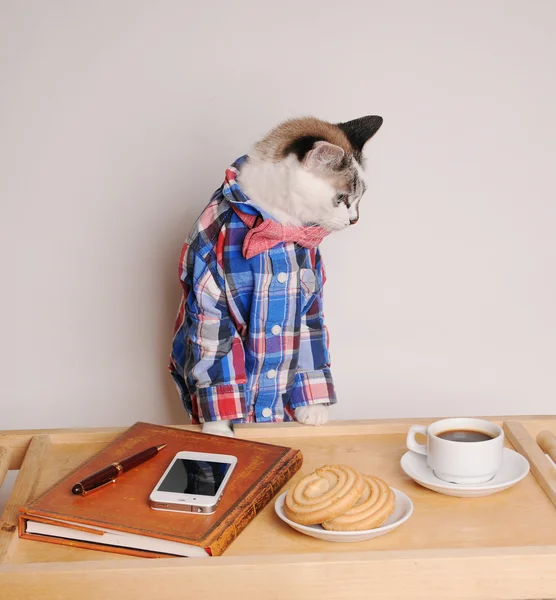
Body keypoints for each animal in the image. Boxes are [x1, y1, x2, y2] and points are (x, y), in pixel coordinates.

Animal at [170, 113, 382, 436]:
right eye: (342, 198)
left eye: (360, 199)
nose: (354, 219)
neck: (279, 227)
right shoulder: (208, 300)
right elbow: (216, 363)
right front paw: (218, 430)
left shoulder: (310, 300)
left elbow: (310, 346)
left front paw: (313, 409)